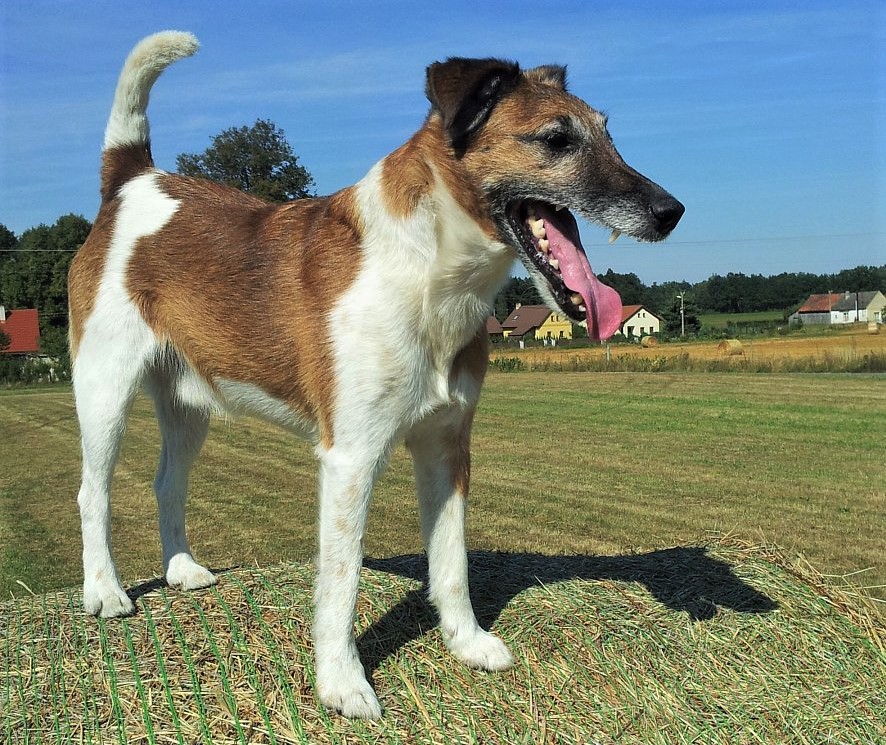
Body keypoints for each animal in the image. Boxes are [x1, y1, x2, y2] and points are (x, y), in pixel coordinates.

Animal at [71, 32, 688, 716]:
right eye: (556, 139)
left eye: (609, 134)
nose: (671, 211)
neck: (430, 275)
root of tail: (134, 181)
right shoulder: (351, 459)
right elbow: (341, 579)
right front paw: (342, 683)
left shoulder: (448, 448)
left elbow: (451, 561)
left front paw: (466, 642)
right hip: (103, 388)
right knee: (93, 492)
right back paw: (104, 591)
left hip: (188, 406)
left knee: (166, 484)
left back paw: (181, 570)